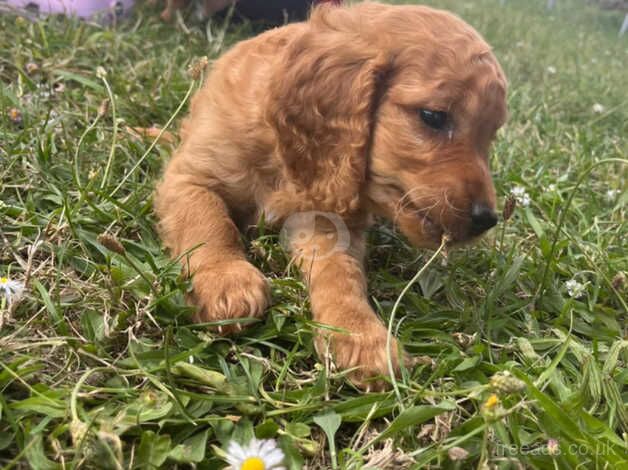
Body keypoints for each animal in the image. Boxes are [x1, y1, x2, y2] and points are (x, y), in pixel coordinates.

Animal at [155, 0, 508, 390]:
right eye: (433, 116)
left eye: (490, 136)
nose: (486, 219)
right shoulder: (190, 176)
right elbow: (208, 221)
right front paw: (225, 278)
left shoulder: (325, 218)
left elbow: (340, 273)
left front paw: (360, 334)